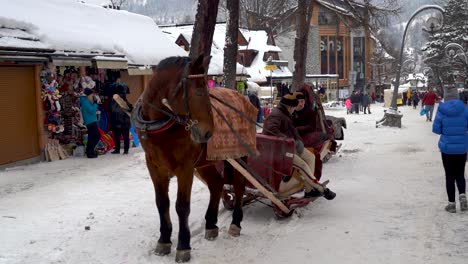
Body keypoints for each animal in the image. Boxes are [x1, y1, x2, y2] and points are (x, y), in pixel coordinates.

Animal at [133, 55, 245, 262]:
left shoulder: (185, 168)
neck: (163, 128)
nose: (208, 132)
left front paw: (183, 245)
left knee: (240, 185)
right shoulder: (154, 167)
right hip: (204, 163)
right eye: (199, 89)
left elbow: (182, 206)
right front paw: (164, 240)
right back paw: (211, 224)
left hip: (238, 155)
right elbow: (162, 203)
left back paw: (236, 222)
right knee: (216, 184)